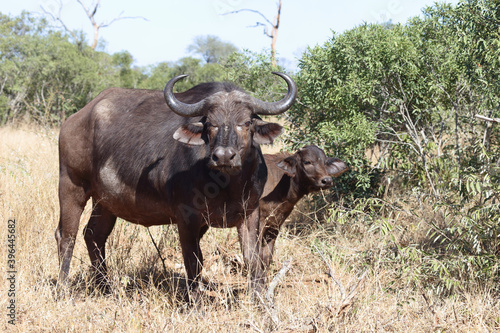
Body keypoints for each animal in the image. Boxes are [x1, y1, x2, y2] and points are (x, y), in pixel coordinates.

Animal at [54, 71, 296, 300]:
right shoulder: (187, 217)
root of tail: (75, 119)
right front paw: (196, 303)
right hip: (71, 185)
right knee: (66, 236)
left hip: (105, 201)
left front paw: (260, 300)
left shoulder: (250, 213)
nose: (224, 156)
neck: (227, 185)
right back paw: (63, 288)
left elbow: (253, 259)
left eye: (246, 123)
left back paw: (104, 286)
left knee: (93, 235)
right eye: (211, 124)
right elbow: (194, 260)